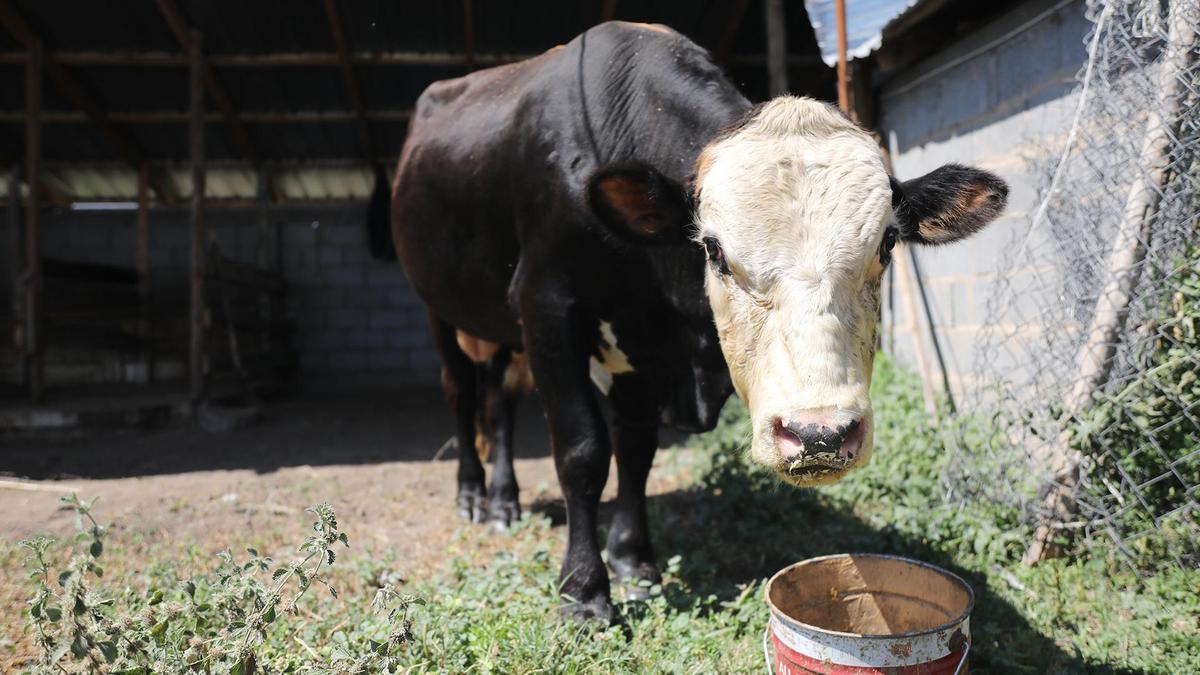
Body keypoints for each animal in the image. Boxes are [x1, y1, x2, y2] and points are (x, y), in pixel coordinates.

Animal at [393, 22, 1003, 619]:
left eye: (888, 242)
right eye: (713, 249)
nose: (821, 434)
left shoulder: (644, 346)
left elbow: (635, 451)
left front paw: (633, 561)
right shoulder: (547, 307)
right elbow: (582, 450)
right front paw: (584, 591)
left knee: (499, 397)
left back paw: (502, 498)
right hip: (438, 307)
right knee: (464, 392)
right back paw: (476, 496)